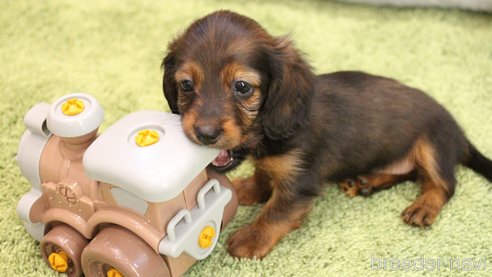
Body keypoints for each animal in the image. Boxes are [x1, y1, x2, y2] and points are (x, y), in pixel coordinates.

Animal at [161, 9, 492, 258]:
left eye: (242, 87)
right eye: (186, 84)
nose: (204, 133)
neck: (270, 133)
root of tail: (459, 132)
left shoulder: (300, 182)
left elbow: (276, 212)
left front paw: (251, 238)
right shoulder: (274, 166)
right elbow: (264, 176)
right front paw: (245, 190)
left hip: (432, 145)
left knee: (443, 184)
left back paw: (424, 206)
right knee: (410, 173)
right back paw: (367, 181)